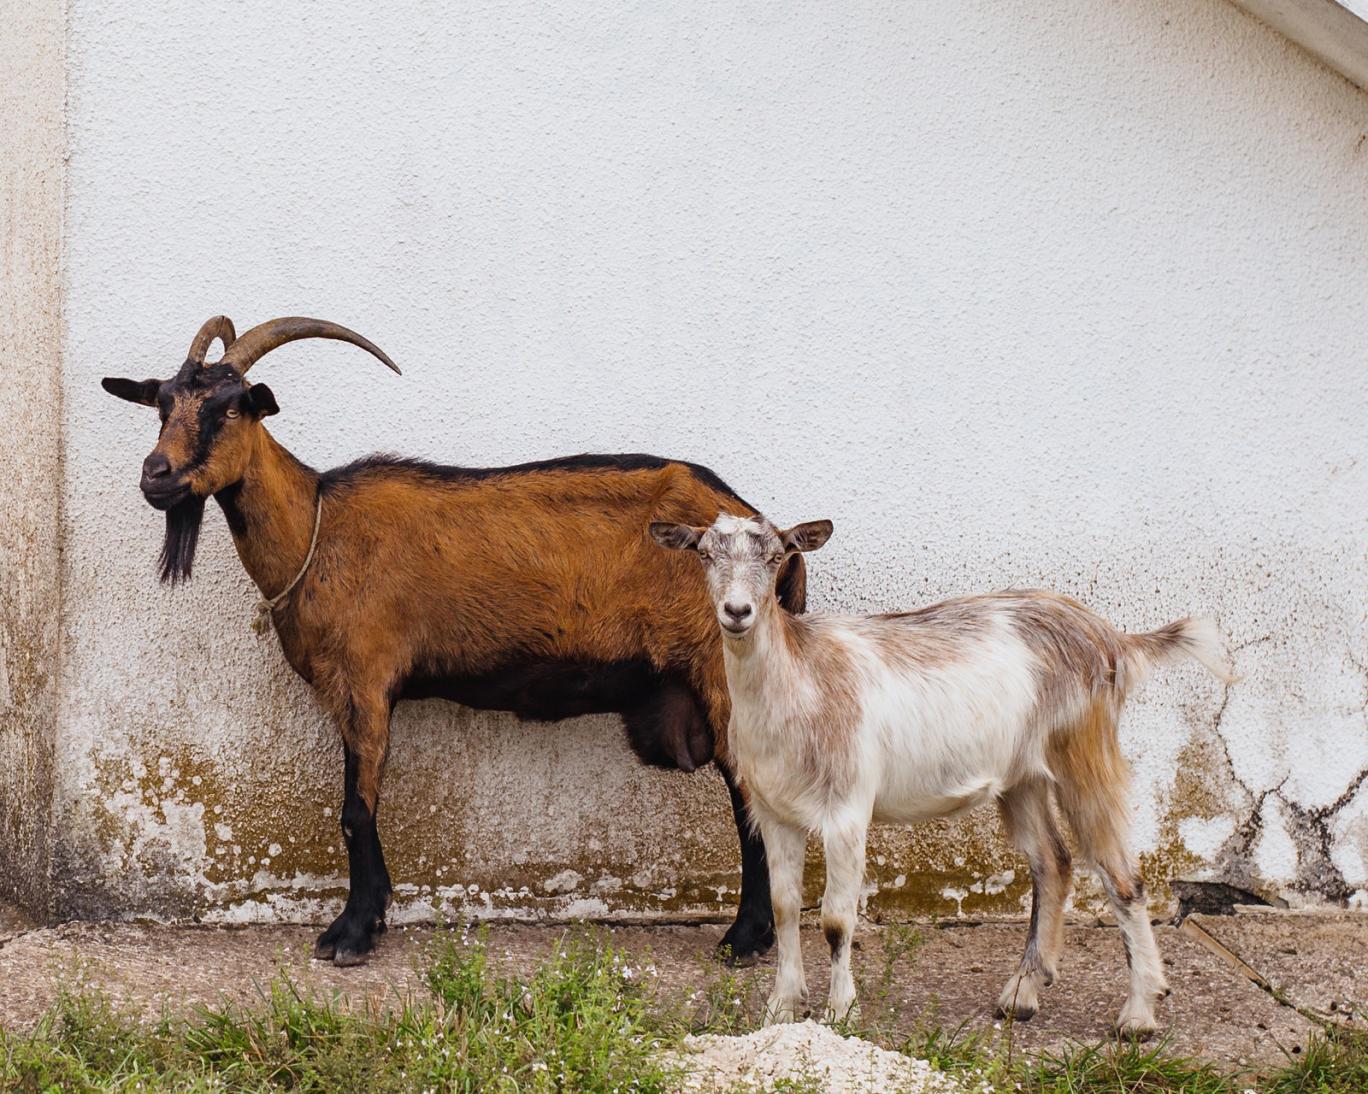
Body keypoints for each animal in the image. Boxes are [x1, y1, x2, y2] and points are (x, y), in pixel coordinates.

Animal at [103, 315, 798, 968]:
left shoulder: (365, 679)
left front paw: (349, 933)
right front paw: (371, 916)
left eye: (229, 408)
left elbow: (355, 811)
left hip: (722, 669)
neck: (317, 527)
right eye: (162, 404)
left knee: (753, 798)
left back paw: (744, 939)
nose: (156, 476)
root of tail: (770, 533)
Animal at [645, 514, 1236, 1033]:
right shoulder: (774, 812)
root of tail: (1113, 638)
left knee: (1122, 877)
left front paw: (840, 1014)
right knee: (1053, 862)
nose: (738, 611)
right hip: (1022, 777)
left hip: (1083, 751)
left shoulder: (847, 811)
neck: (801, 682)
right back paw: (1022, 994)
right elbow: (787, 907)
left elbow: (835, 919)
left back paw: (1139, 1014)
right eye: (705, 554)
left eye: (774, 557)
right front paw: (781, 1008)